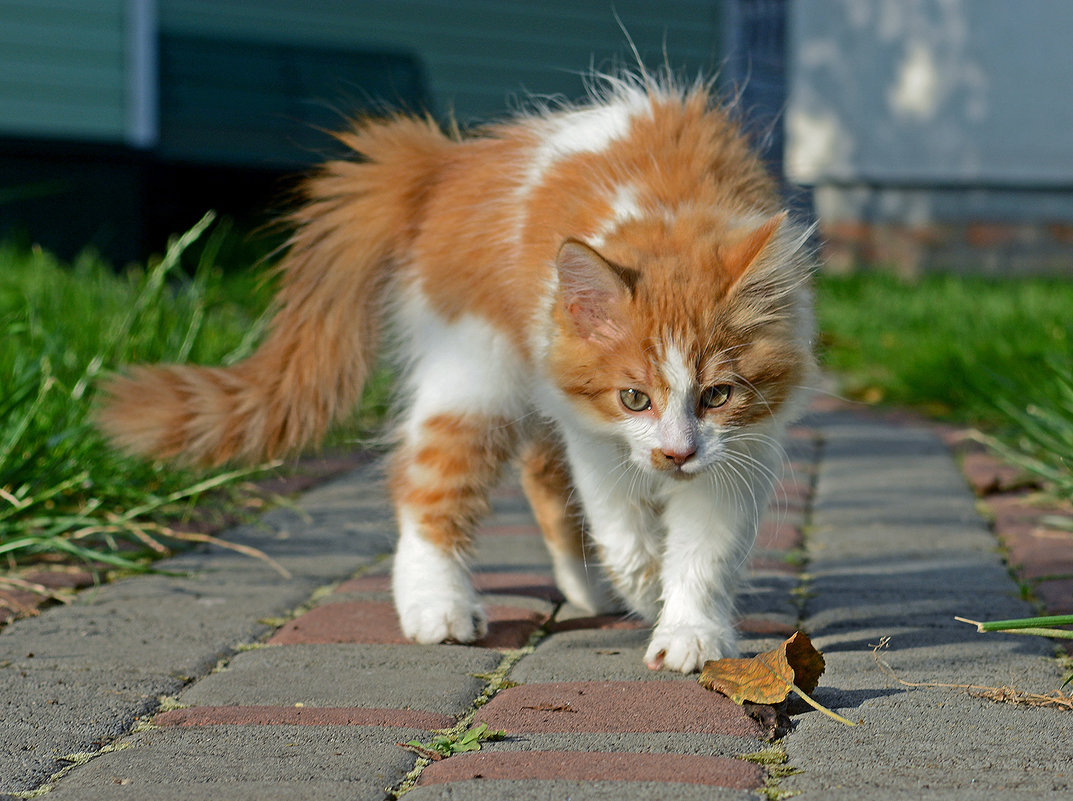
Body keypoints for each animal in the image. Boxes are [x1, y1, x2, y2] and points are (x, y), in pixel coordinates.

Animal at [98, 76, 811, 677]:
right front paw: (642, 581)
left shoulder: (743, 446)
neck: (666, 216)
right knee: (426, 488)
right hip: (473, 378)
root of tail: (444, 164)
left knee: (538, 480)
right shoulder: (593, 426)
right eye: (634, 397)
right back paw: (437, 605)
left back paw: (586, 588)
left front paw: (689, 630)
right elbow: (619, 519)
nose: (675, 453)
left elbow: (703, 553)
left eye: (717, 394)